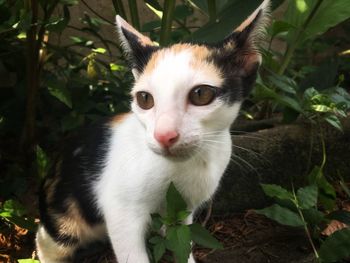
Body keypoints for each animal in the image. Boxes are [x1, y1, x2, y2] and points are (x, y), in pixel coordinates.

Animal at [35, 1, 270, 262]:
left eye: (201, 94)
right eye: (145, 99)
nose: (164, 135)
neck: (184, 168)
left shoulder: (181, 210)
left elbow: (181, 241)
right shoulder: (121, 211)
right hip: (66, 215)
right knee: (48, 240)